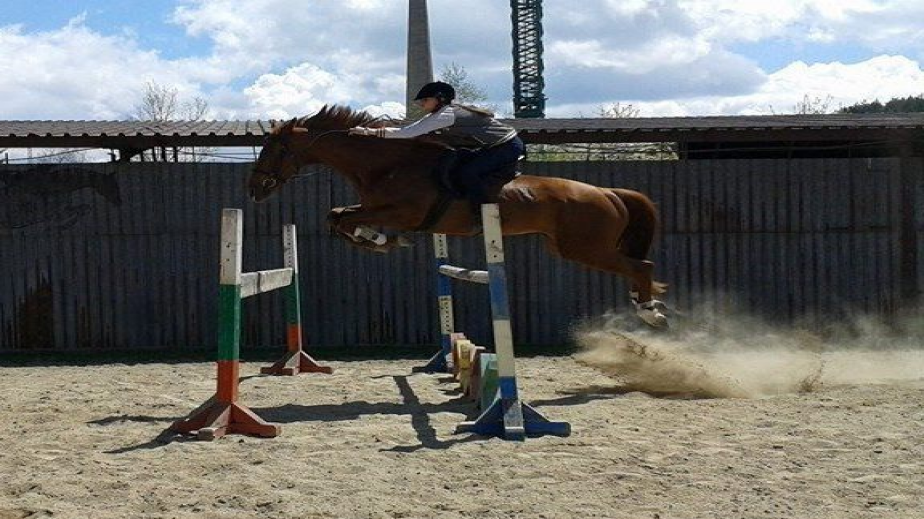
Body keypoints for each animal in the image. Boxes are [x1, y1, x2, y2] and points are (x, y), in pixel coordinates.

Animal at [248, 105, 668, 327]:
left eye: (275, 148)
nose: (255, 189)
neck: (387, 164)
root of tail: (607, 192)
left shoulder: (405, 213)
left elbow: (344, 219)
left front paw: (382, 241)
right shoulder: (378, 209)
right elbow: (337, 216)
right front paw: (379, 240)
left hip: (584, 247)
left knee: (642, 265)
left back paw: (650, 313)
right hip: (568, 248)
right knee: (634, 267)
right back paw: (643, 303)